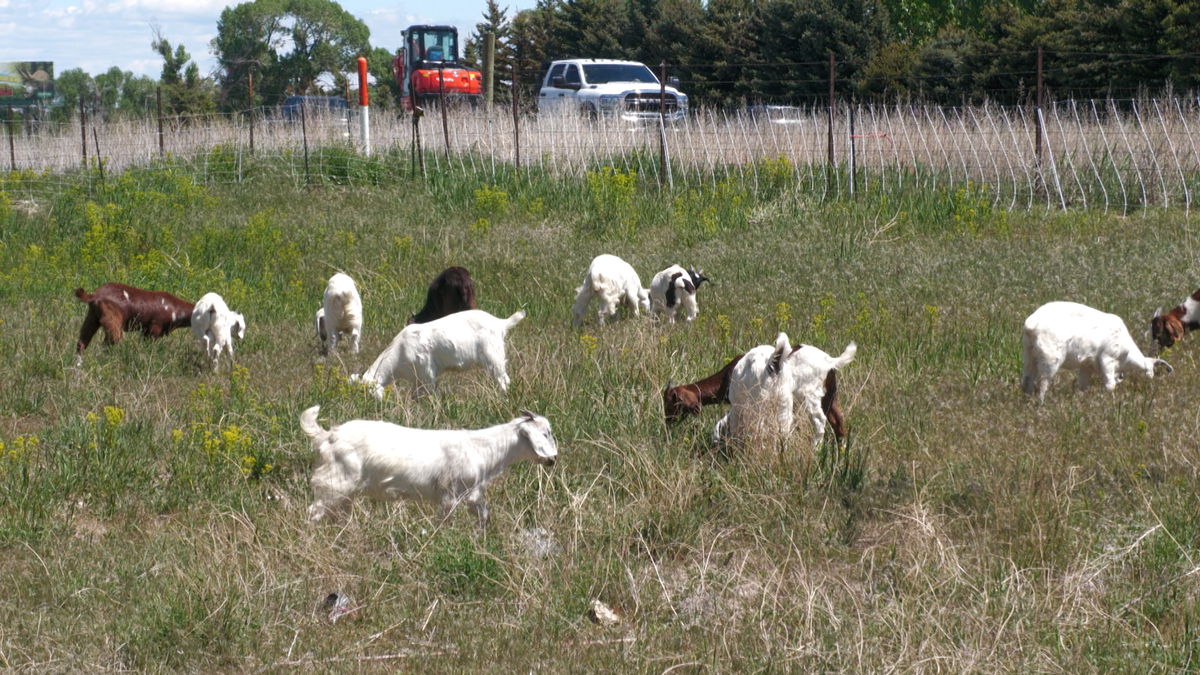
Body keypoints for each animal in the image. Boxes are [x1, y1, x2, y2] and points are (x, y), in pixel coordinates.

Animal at [300, 405, 557, 528]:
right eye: (545, 433)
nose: (552, 460)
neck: (481, 447)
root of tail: (327, 436)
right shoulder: (449, 495)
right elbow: (444, 524)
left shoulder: (472, 494)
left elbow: (484, 514)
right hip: (335, 483)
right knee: (314, 511)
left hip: (346, 491)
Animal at [714, 333, 856, 448]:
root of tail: (830, 361)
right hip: (821, 397)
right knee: (837, 420)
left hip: (806, 395)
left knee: (819, 420)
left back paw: (815, 448)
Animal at [1022, 301, 1172, 401]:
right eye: (1152, 370)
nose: (1149, 385)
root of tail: (1031, 325)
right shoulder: (1107, 359)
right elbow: (1110, 385)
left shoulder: (1086, 366)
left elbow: (1082, 387)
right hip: (1050, 358)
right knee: (1043, 384)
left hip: (1029, 356)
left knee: (1027, 381)